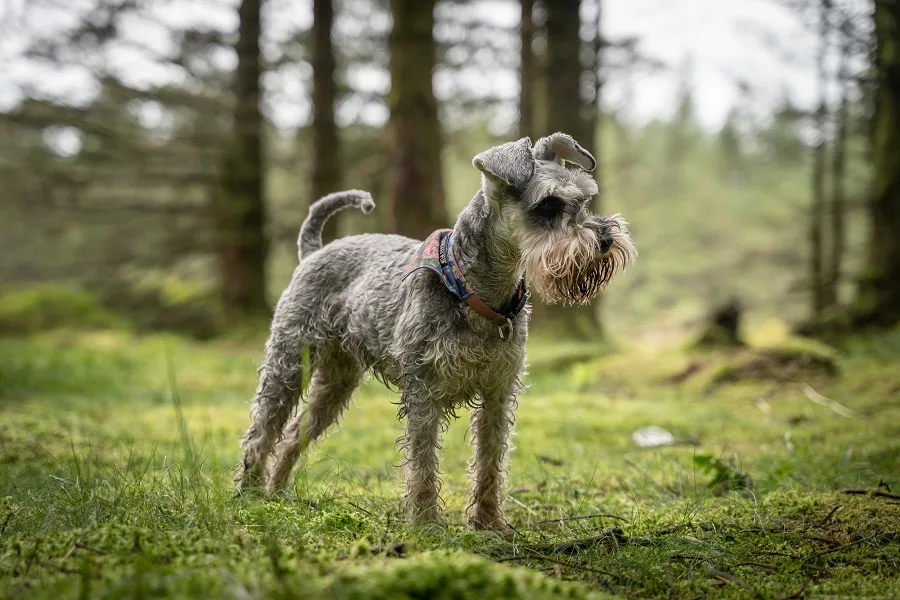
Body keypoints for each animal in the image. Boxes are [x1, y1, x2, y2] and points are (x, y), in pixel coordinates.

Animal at [236, 134, 636, 532]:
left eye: (584, 198)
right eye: (549, 203)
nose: (604, 239)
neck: (477, 291)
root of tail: (313, 253)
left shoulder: (499, 392)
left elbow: (491, 459)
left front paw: (488, 521)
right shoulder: (424, 391)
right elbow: (423, 462)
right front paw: (426, 522)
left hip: (336, 382)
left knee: (293, 433)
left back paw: (278, 493)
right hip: (288, 365)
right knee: (261, 432)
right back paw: (251, 494)